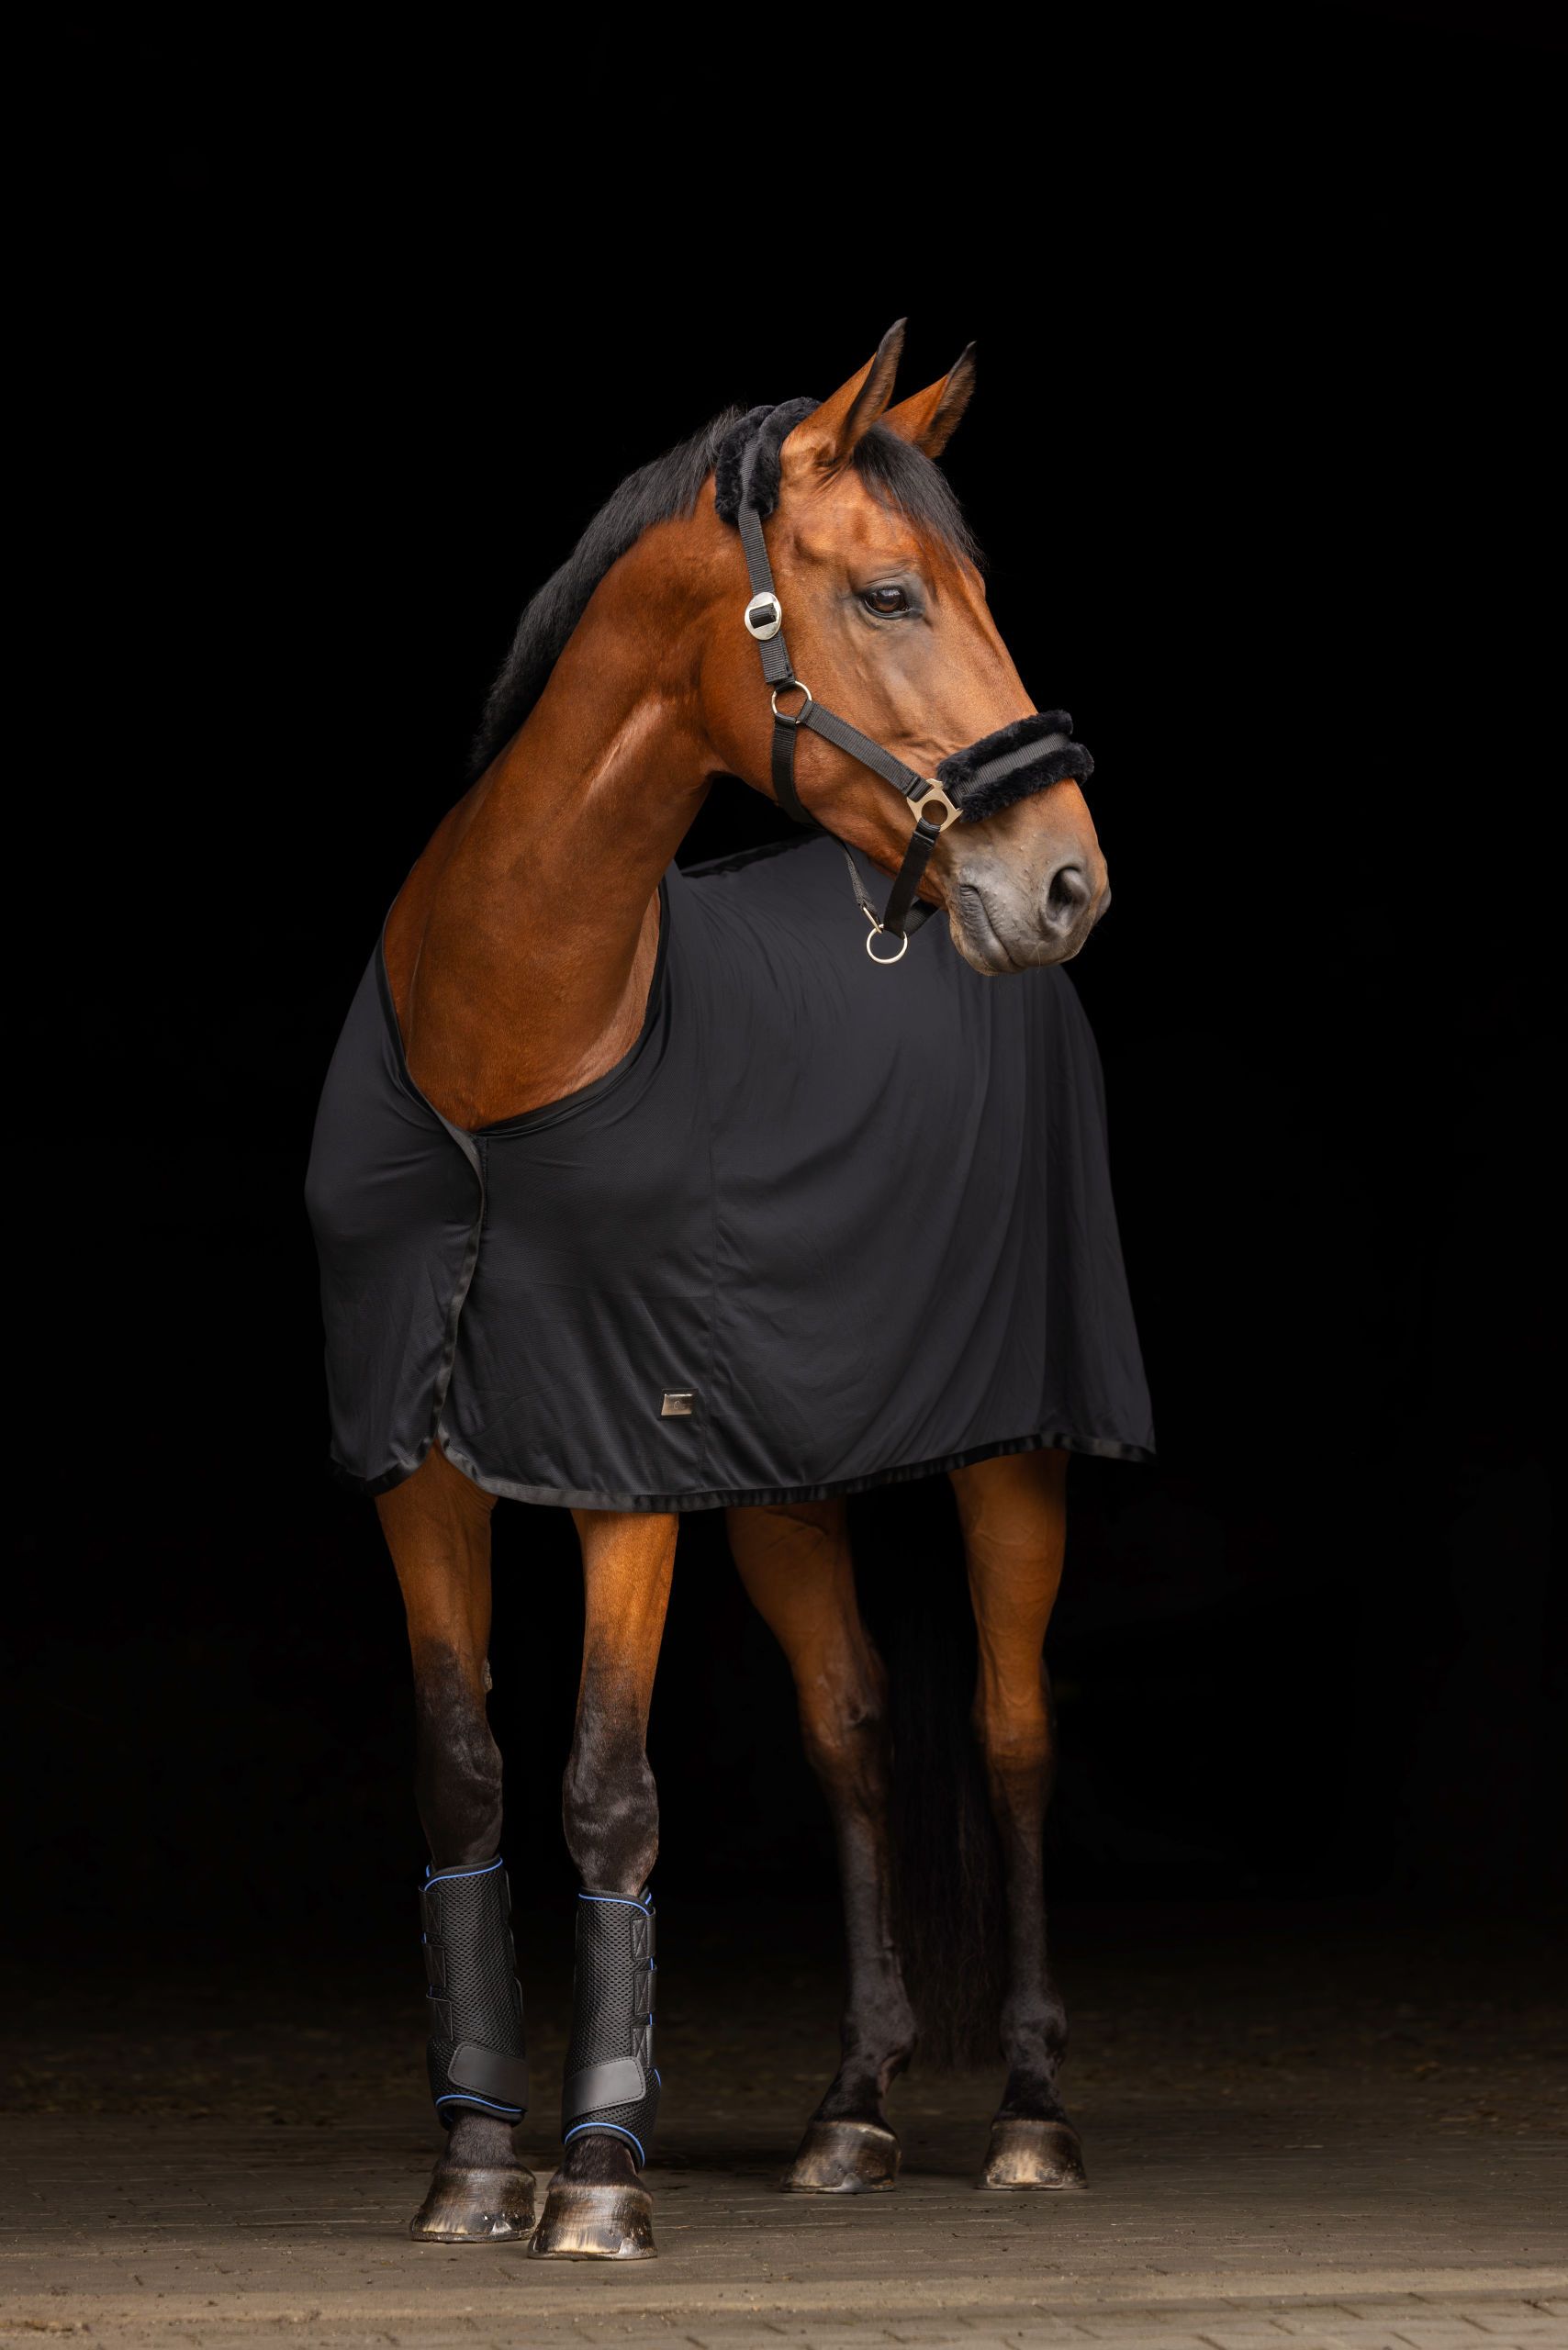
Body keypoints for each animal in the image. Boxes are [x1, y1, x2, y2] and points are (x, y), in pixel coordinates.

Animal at [306, 322, 1151, 2260]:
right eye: (893, 591)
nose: (1062, 879)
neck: (506, 1044)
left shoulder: (619, 1465)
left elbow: (608, 1791)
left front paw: (598, 2179)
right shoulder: (422, 1467)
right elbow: (465, 1776)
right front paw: (475, 2163)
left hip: (1016, 1461)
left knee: (1009, 1739)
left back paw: (1028, 2118)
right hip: (779, 1487)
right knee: (849, 1736)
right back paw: (848, 2113)